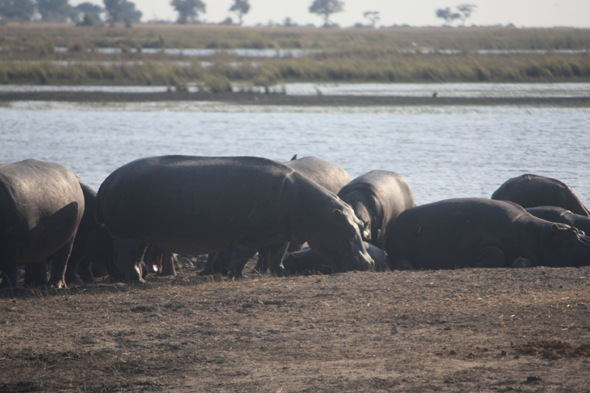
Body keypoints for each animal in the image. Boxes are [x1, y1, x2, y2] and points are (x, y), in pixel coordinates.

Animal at [0, 159, 85, 288]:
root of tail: (72, 176)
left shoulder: (11, 241)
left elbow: (8, 266)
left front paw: (6, 288)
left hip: (70, 236)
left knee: (61, 259)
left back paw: (55, 285)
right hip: (39, 240)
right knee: (38, 262)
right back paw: (38, 285)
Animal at [96, 155, 374, 280]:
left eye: (361, 226)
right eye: (350, 231)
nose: (369, 263)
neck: (313, 210)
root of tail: (108, 179)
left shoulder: (281, 234)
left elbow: (277, 256)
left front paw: (280, 273)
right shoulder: (252, 237)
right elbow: (242, 256)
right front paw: (236, 275)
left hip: (139, 236)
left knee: (134, 257)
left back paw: (138, 277)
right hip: (126, 235)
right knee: (125, 258)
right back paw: (137, 280)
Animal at [386, 196, 590, 270]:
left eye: (579, 230)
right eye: (573, 233)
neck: (537, 235)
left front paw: (519, 262)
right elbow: (496, 253)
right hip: (398, 252)